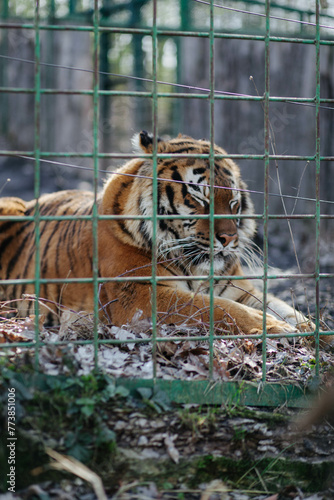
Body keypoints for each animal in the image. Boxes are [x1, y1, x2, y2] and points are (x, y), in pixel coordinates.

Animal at [0, 131, 330, 344]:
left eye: (233, 201)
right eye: (200, 197)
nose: (228, 238)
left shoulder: (239, 288)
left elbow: (286, 309)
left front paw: (317, 333)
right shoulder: (140, 293)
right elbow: (218, 309)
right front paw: (279, 330)